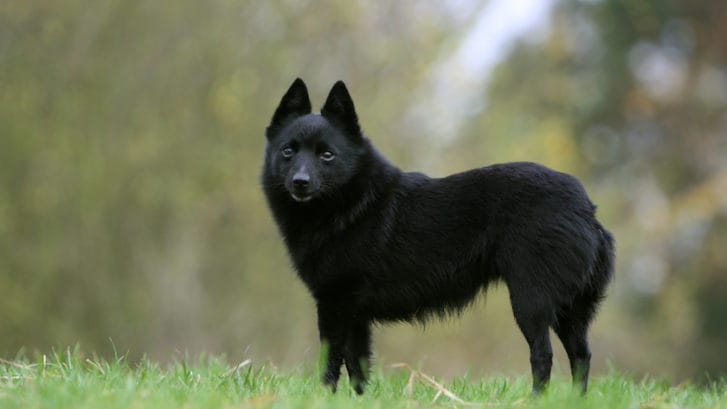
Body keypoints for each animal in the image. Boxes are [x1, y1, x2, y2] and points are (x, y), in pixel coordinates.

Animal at [262, 78, 616, 394]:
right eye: (288, 151)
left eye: (327, 155)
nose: (300, 182)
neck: (351, 204)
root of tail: (586, 209)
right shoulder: (355, 314)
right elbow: (356, 365)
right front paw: (357, 400)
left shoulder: (334, 304)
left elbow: (331, 362)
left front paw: (323, 397)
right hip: (570, 309)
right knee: (581, 355)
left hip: (531, 301)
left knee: (543, 355)